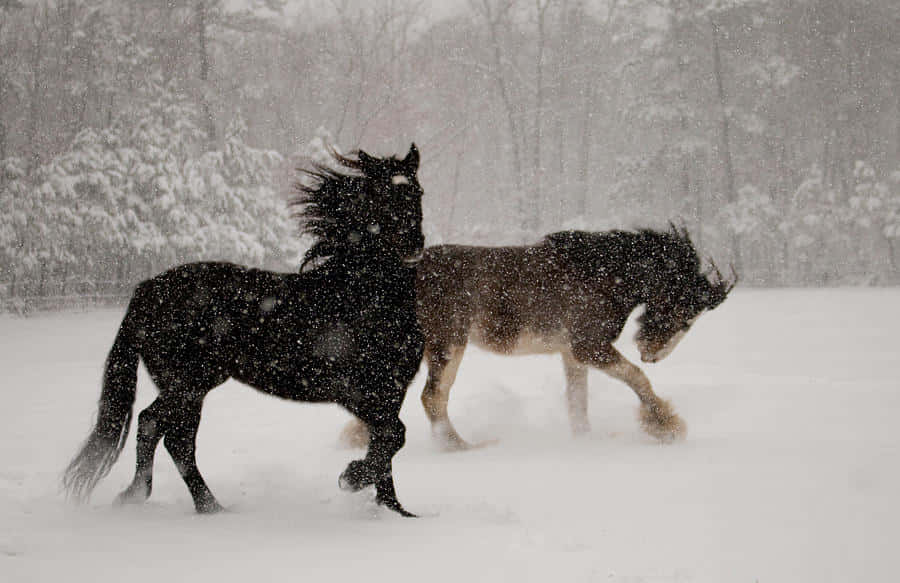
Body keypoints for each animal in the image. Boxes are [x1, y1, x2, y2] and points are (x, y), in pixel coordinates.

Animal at [63, 144, 426, 517]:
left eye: (417, 192)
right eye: (380, 196)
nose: (413, 244)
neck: (356, 298)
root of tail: (147, 289)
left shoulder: (391, 392)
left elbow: (386, 446)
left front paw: (396, 513)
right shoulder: (352, 391)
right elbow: (393, 435)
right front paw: (350, 478)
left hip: (191, 388)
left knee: (174, 438)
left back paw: (200, 506)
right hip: (188, 383)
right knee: (156, 427)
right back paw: (163, 499)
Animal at [340, 225, 736, 451]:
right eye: (684, 314)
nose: (653, 354)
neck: (601, 275)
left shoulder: (573, 355)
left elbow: (578, 402)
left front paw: (585, 441)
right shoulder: (589, 347)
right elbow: (637, 378)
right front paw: (666, 426)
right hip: (448, 344)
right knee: (432, 397)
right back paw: (460, 446)